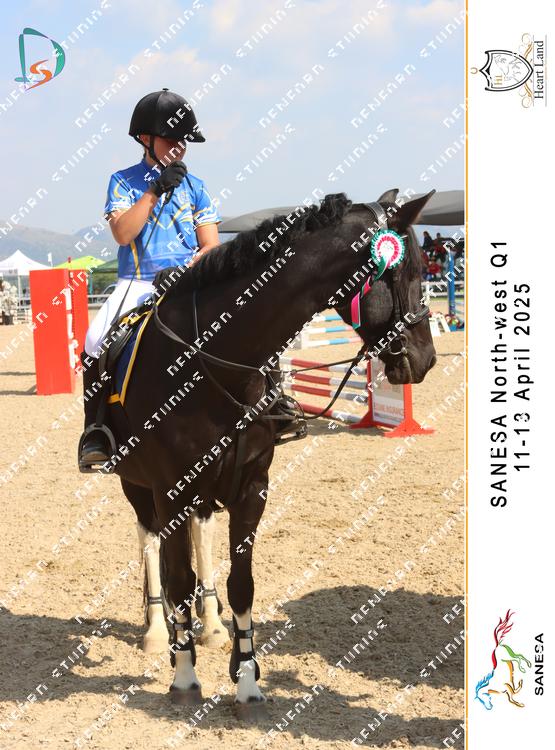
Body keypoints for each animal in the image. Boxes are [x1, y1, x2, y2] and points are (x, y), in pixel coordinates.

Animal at [100, 188, 437, 715]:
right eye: (410, 274)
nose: (426, 359)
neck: (213, 362)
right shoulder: (170, 491)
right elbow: (177, 579)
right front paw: (184, 675)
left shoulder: (251, 488)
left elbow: (241, 584)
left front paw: (246, 680)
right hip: (137, 486)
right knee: (150, 543)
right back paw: (158, 631)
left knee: (201, 538)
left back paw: (212, 624)